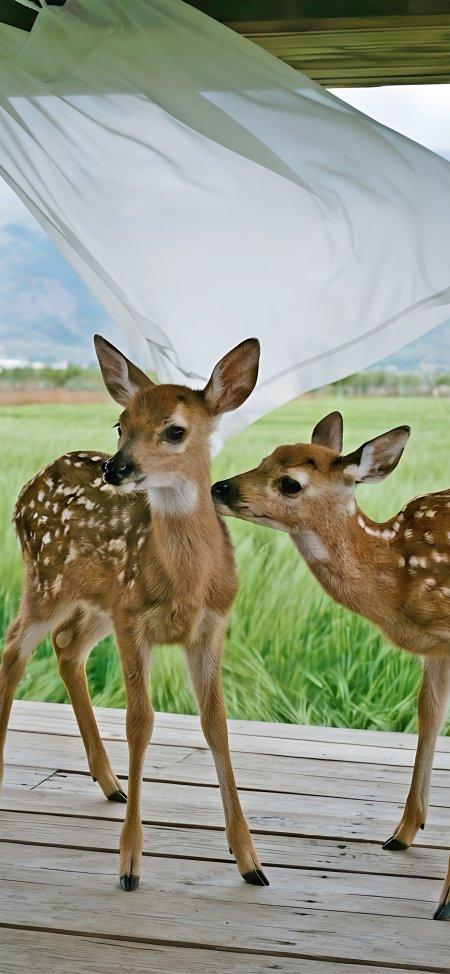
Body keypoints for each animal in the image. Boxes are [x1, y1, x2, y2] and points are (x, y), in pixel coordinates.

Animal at [0, 334, 269, 892]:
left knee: (65, 647)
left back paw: (109, 782)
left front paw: (250, 861)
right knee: (15, 649)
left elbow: (216, 724)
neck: (187, 583)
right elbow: (139, 722)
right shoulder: (132, 622)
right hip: (46, 581)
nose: (115, 468)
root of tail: (27, 486)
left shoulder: (210, 626)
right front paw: (129, 864)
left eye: (175, 430)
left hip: (96, 600)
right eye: (120, 424)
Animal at [212, 410, 450, 920]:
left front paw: (446, 901)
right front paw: (402, 833)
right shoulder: (436, 648)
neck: (400, 571)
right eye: (266, 457)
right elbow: (428, 714)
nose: (220, 487)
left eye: (290, 483)